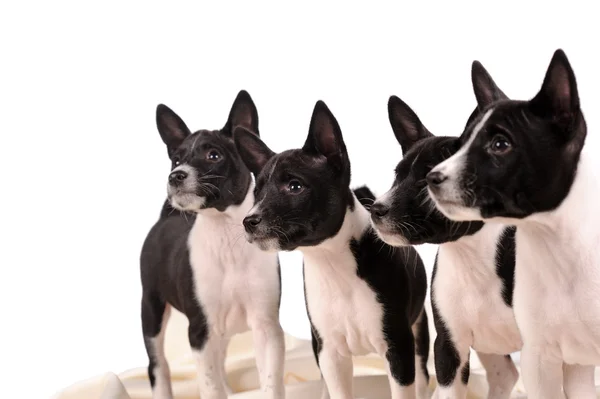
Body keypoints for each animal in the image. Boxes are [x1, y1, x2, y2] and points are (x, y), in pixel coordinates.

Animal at [139, 90, 284, 399]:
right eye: (175, 160)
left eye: (213, 155)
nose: (175, 175)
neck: (225, 236)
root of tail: (166, 217)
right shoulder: (199, 331)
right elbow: (209, 384)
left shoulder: (266, 327)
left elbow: (270, 382)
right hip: (151, 307)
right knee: (158, 364)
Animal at [233, 101, 432, 399]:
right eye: (257, 194)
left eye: (295, 186)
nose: (249, 220)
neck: (332, 263)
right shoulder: (329, 353)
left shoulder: (398, 350)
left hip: (418, 337)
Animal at [370, 94, 520, 399]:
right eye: (397, 176)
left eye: (426, 182)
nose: (377, 209)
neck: (471, 257)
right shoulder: (449, 349)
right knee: (506, 374)